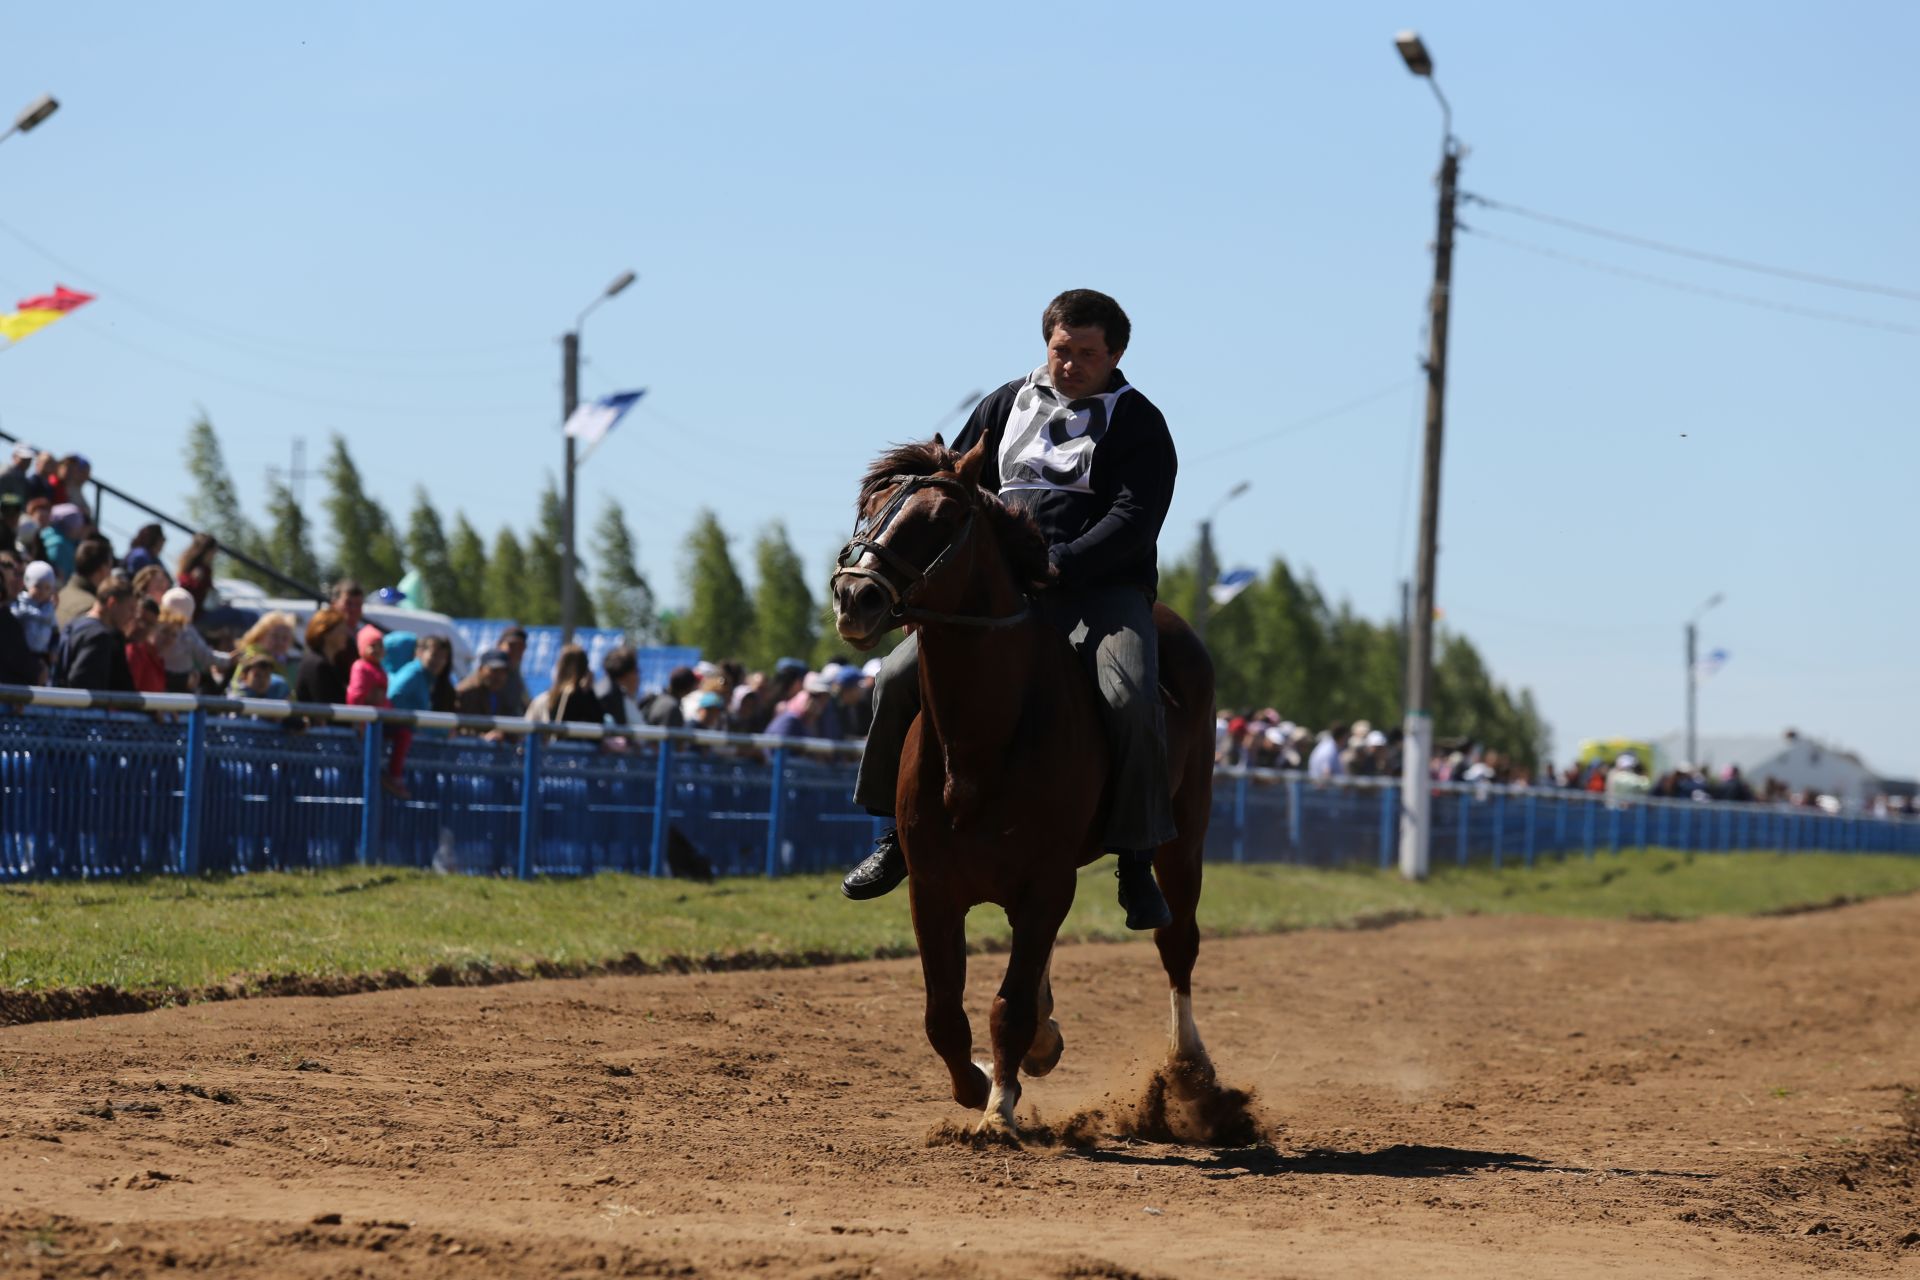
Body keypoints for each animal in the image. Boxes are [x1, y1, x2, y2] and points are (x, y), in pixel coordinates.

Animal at [825, 435, 1213, 1136]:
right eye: (869, 507)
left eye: (941, 519)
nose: (854, 596)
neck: (981, 742)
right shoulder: (933, 888)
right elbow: (943, 1013)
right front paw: (978, 1083)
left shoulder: (1045, 882)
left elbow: (1009, 1003)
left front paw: (999, 1109)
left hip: (1185, 838)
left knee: (1178, 944)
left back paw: (1190, 1071)